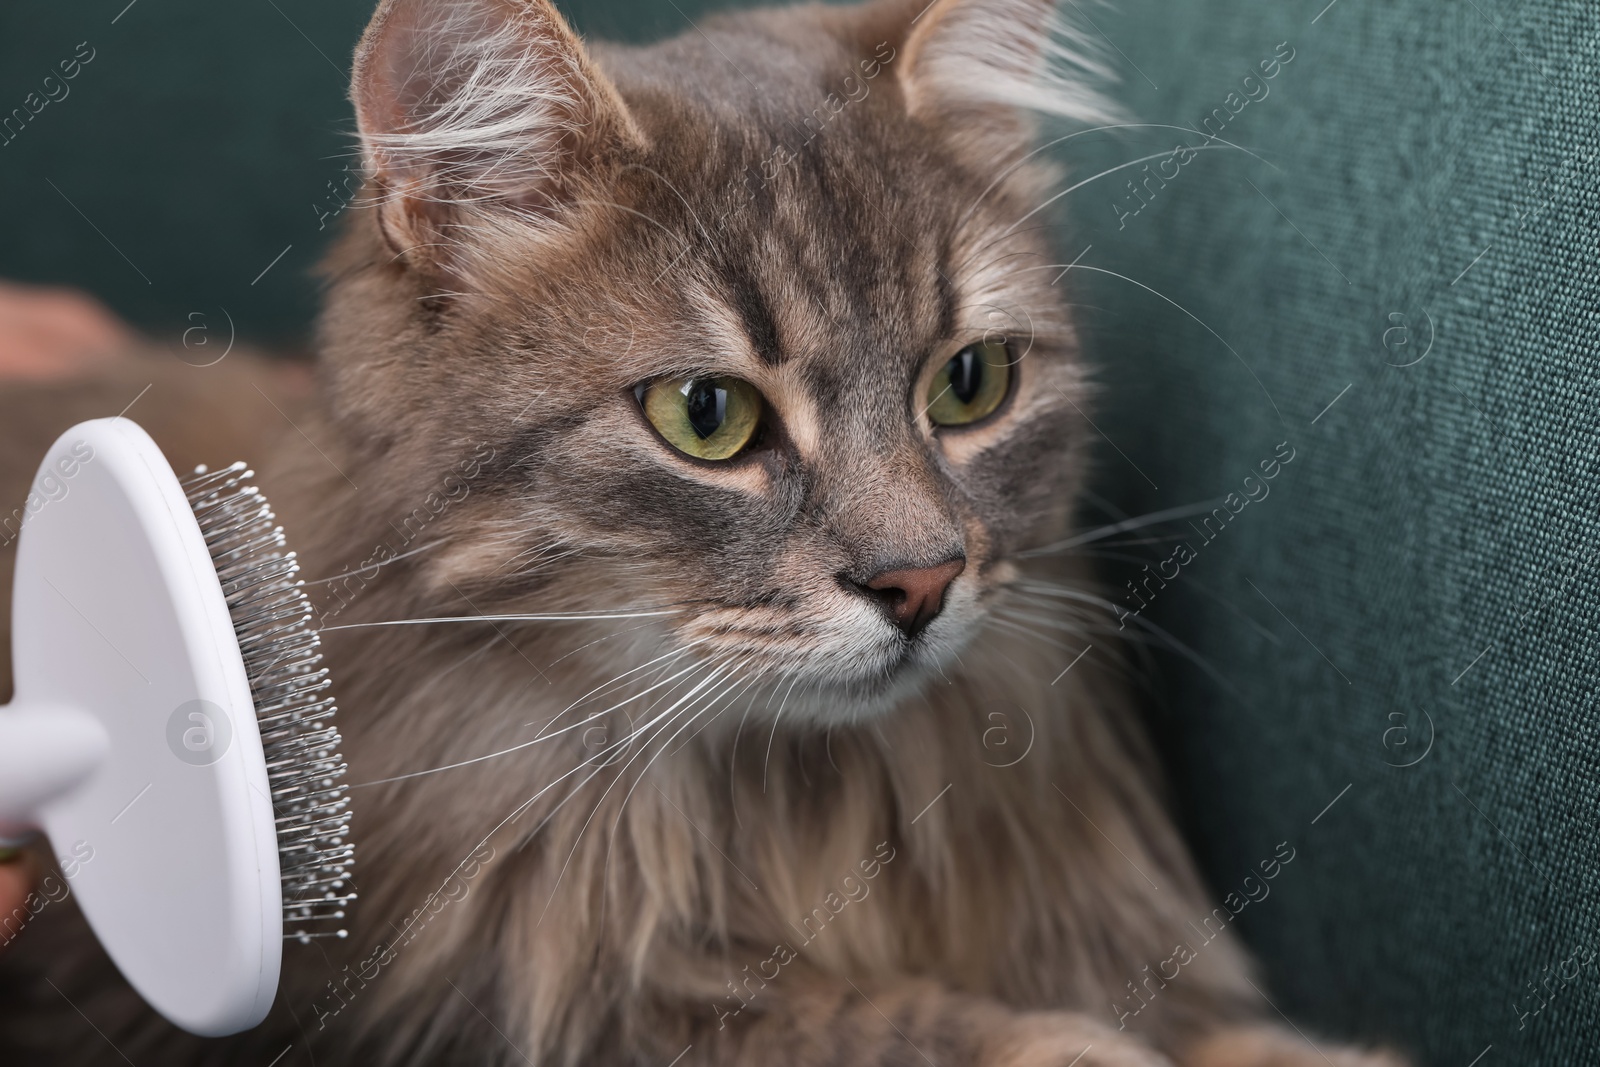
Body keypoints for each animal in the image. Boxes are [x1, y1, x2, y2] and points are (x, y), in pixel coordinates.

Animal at [0, 0, 1408, 1062]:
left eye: (969, 384)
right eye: (708, 416)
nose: (920, 579)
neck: (795, 812)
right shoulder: (515, 994)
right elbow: (863, 1027)